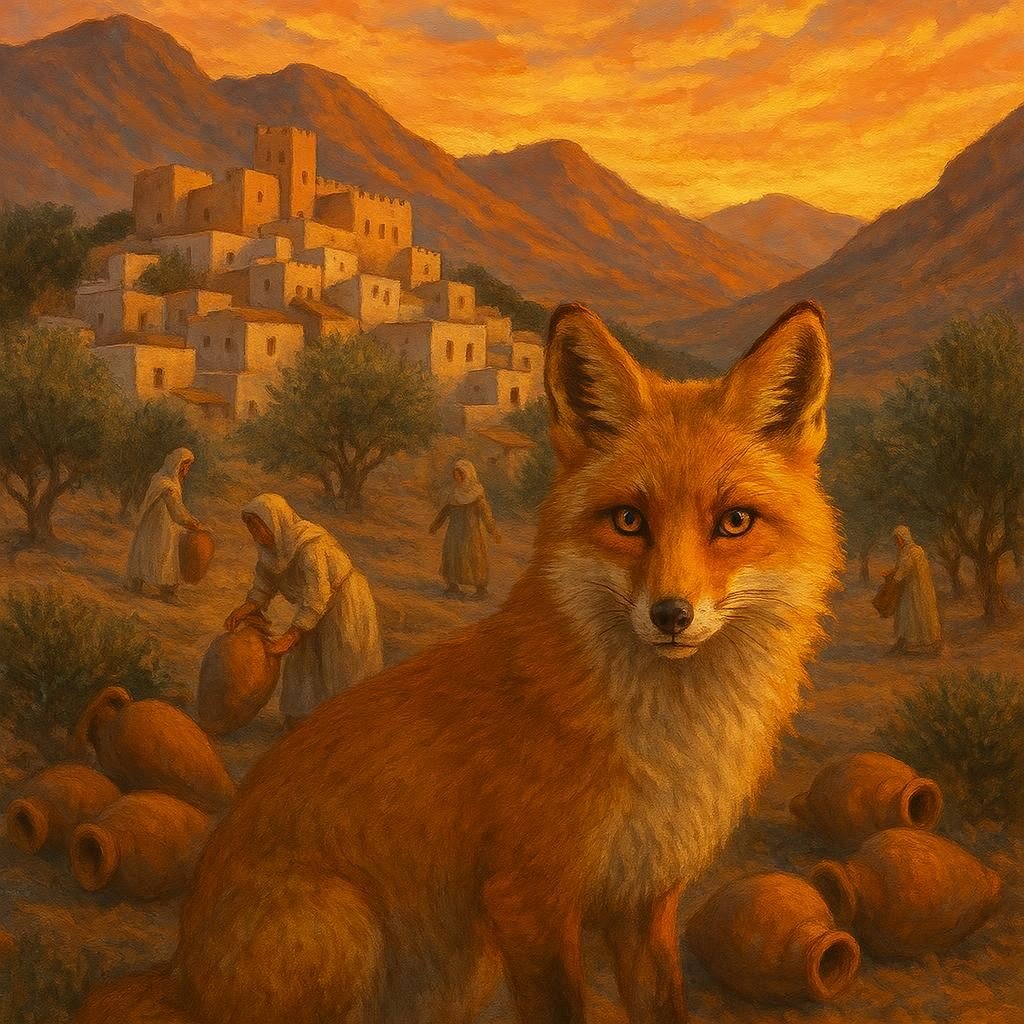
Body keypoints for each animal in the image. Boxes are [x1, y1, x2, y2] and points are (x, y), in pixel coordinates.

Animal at [77, 300, 841, 1024]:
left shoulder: (644, 899)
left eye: (734, 522)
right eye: (629, 521)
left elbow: (666, 1007)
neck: (663, 739)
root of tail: (179, 973)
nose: (672, 616)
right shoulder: (528, 897)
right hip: (350, 929)